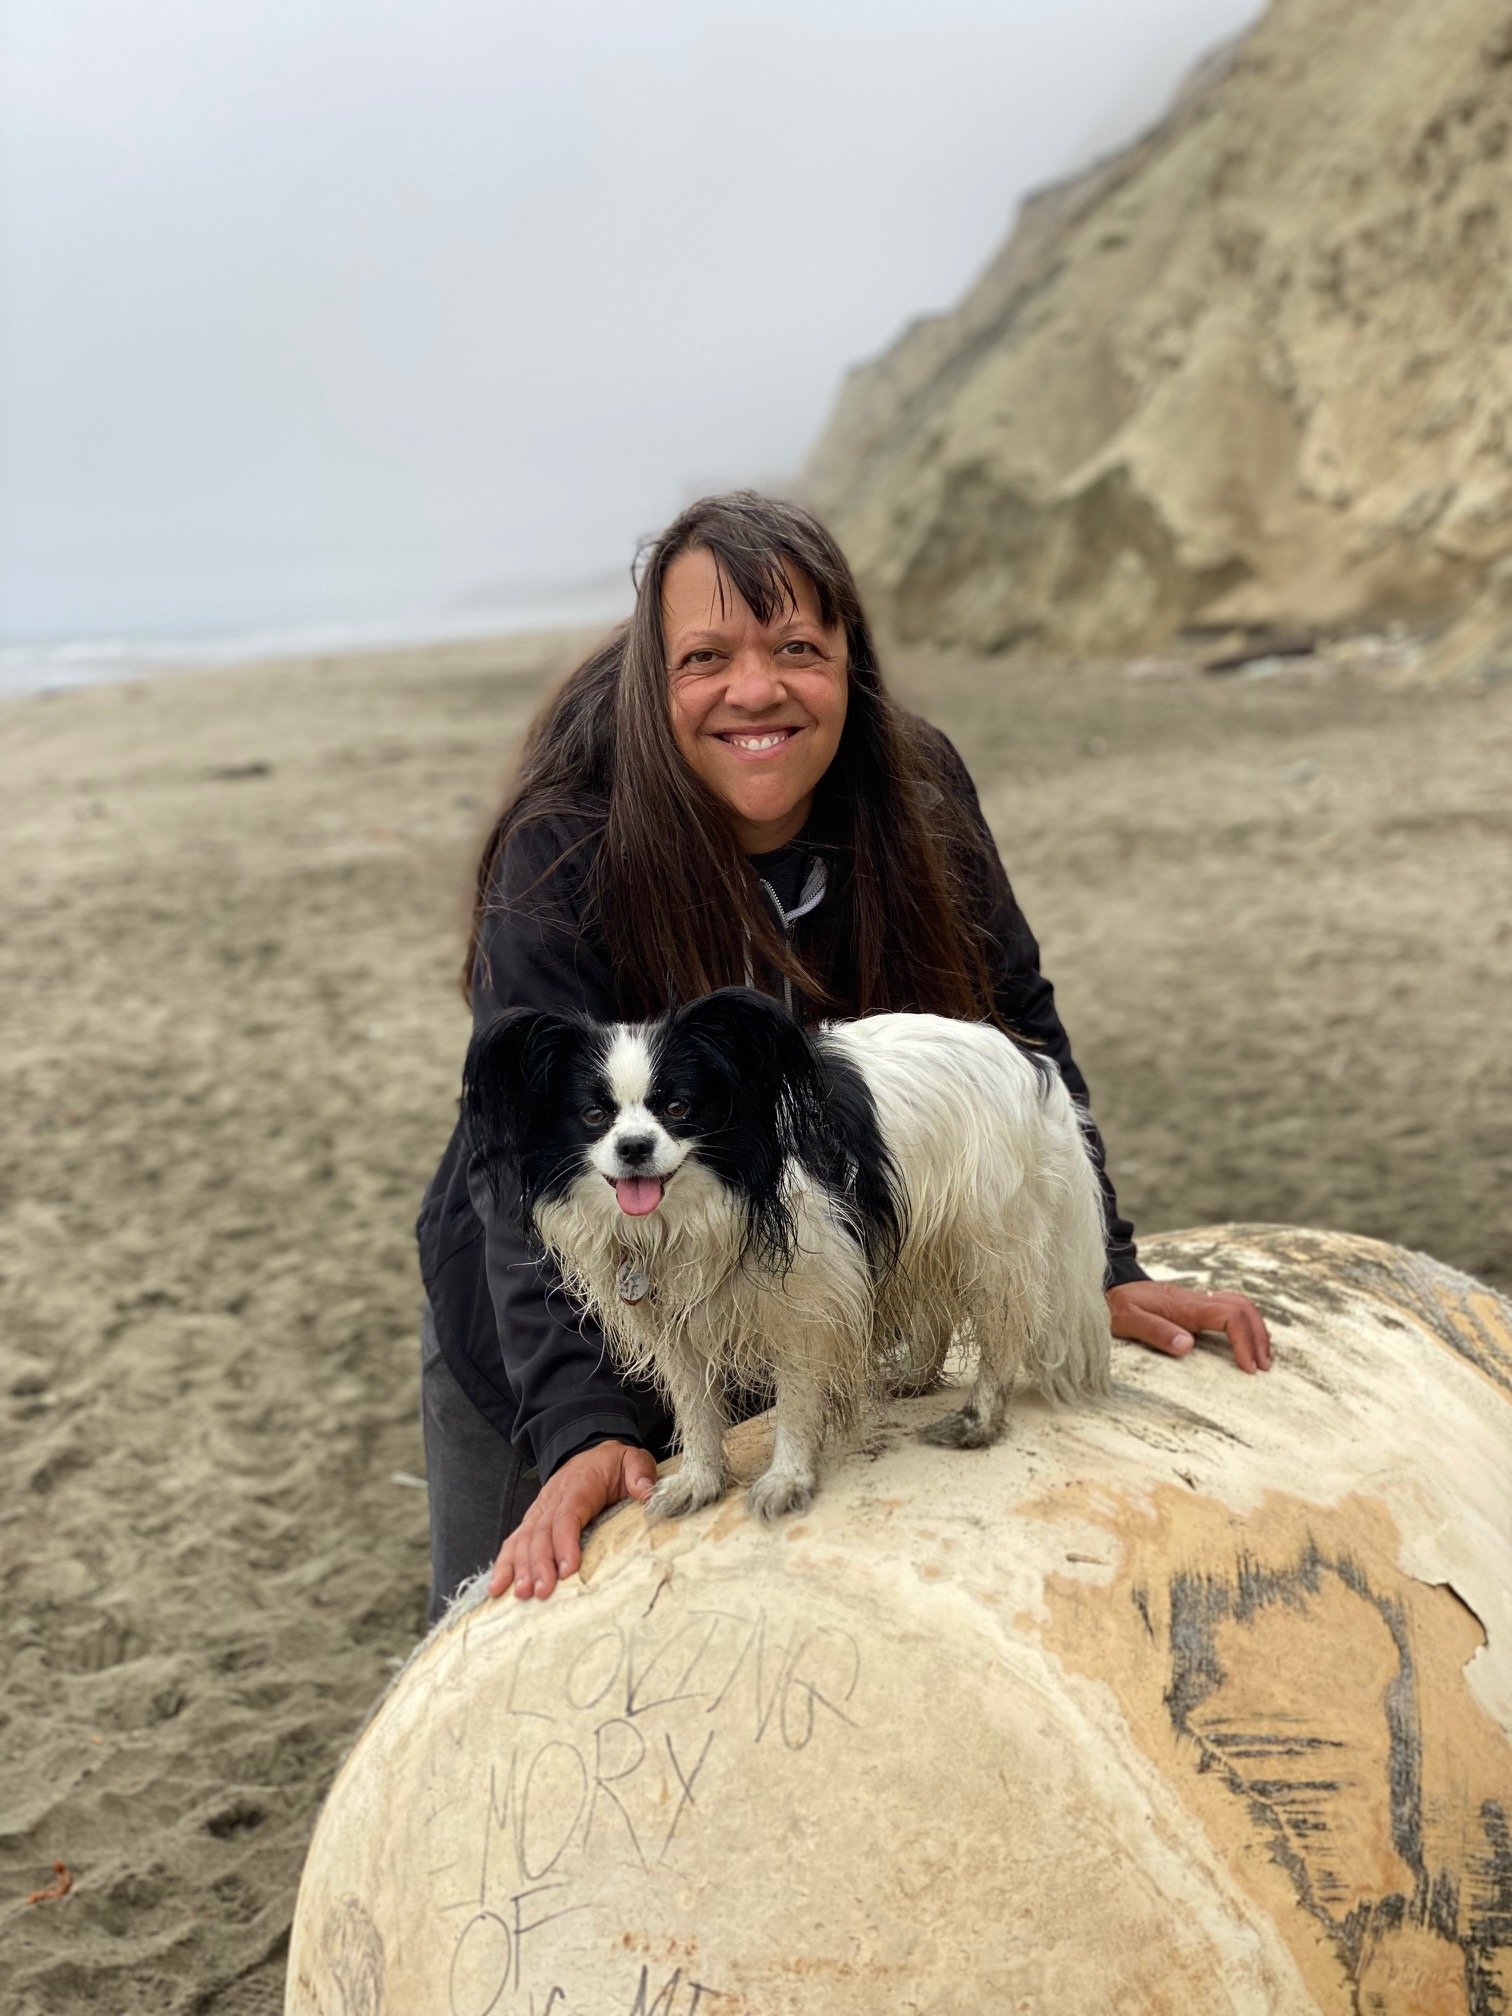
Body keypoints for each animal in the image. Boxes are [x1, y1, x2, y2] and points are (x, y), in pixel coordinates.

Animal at [462, 987, 1111, 1522]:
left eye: (679, 1109)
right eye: (594, 1116)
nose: (634, 1147)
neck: (694, 1211)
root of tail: (1030, 1064)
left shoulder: (809, 1302)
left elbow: (796, 1401)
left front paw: (786, 1480)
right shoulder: (672, 1316)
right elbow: (696, 1406)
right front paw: (700, 1482)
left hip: (987, 1236)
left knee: (1003, 1330)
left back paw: (978, 1420)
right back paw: (915, 1377)